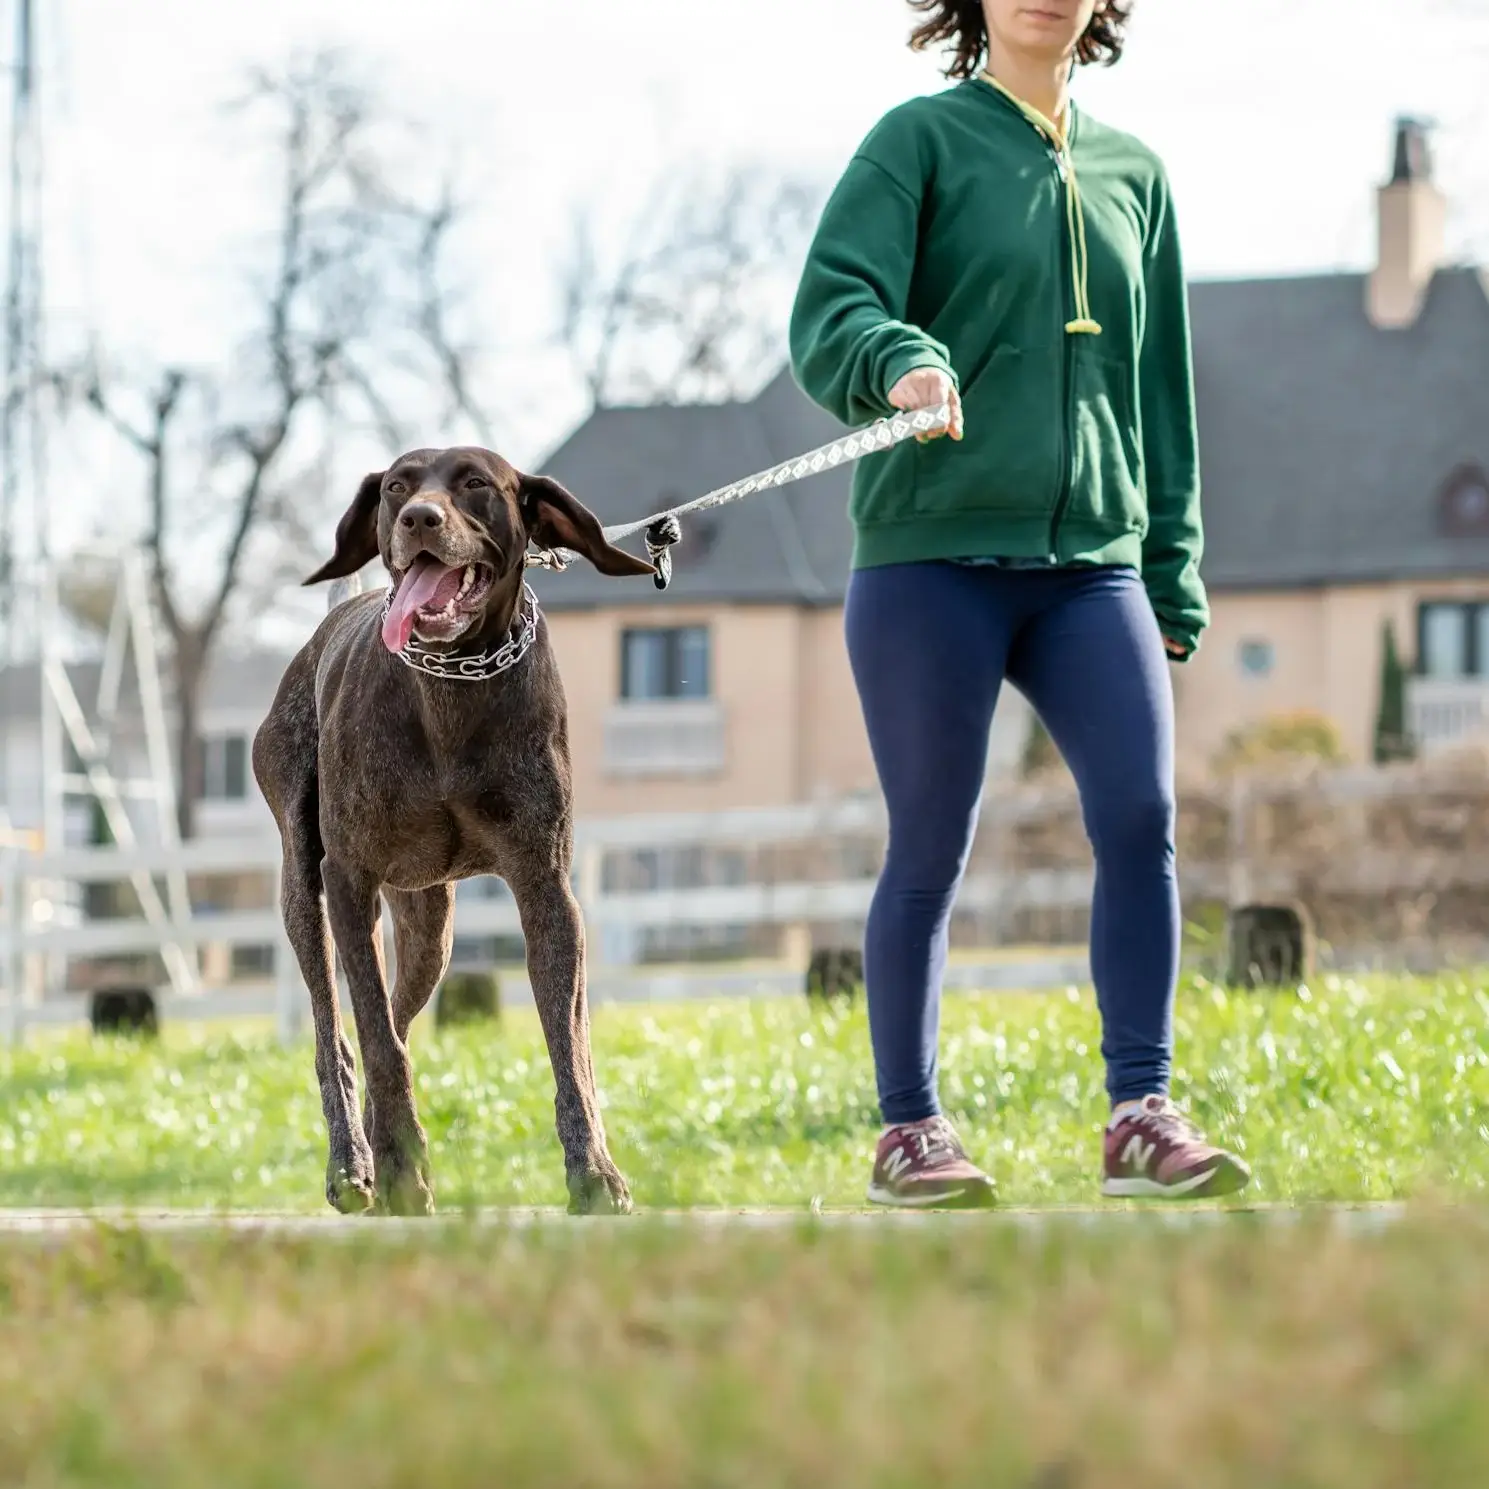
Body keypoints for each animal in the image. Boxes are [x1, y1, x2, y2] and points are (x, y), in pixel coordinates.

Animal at [253, 446, 655, 1215]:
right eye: (395, 486)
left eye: (475, 482)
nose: (419, 518)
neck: (452, 682)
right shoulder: (349, 881)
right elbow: (374, 1039)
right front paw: (402, 1170)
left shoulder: (546, 887)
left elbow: (570, 1045)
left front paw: (594, 1172)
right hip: (304, 886)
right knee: (337, 1030)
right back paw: (354, 1162)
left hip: (428, 926)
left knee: (399, 1014)